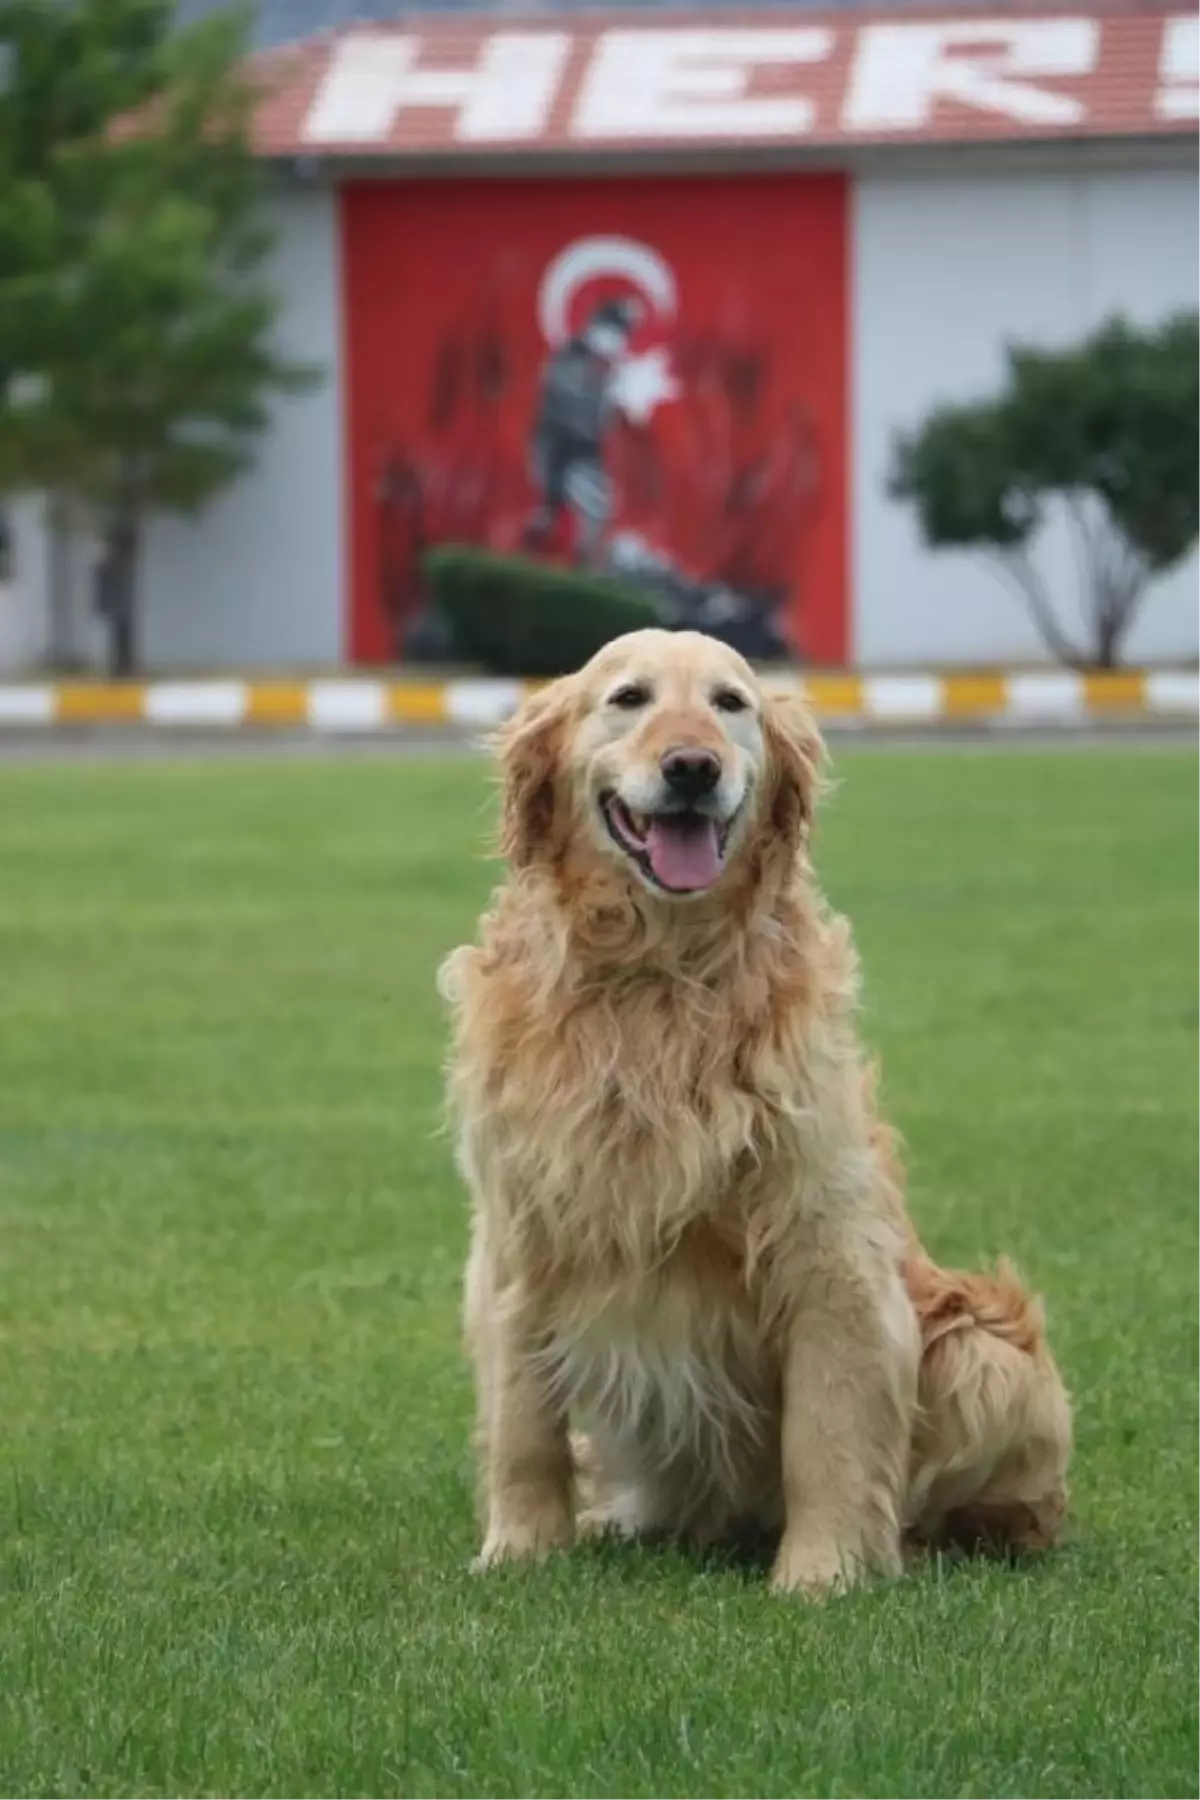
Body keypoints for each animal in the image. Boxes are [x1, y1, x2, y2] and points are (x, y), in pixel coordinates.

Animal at [438, 626, 1072, 1598]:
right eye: (628, 698)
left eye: (730, 702)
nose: (693, 767)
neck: (657, 979)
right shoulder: (517, 1231)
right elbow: (522, 1424)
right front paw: (520, 1552)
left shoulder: (824, 1239)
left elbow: (829, 1432)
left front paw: (824, 1574)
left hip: (986, 1349)